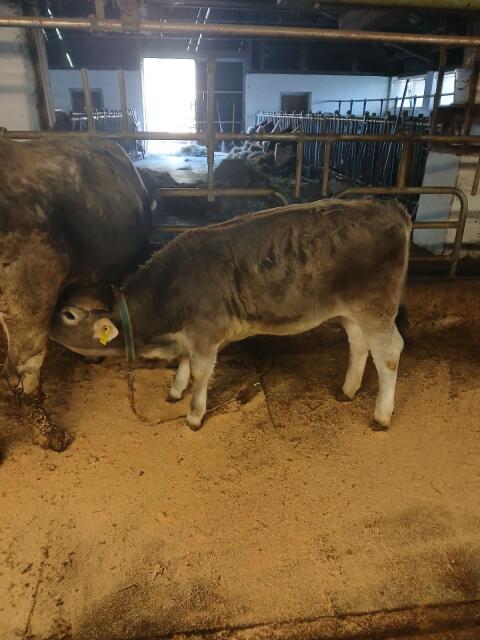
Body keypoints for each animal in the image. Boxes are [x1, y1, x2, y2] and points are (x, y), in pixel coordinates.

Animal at [49, 198, 410, 433]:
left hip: (377, 307)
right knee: (359, 345)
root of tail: (391, 209)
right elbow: (186, 364)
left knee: (390, 353)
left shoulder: (205, 333)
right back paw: (347, 390)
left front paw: (194, 415)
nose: (45, 326)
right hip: (352, 312)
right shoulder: (194, 334)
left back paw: (381, 415)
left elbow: (200, 373)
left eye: (67, 314)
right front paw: (176, 391)